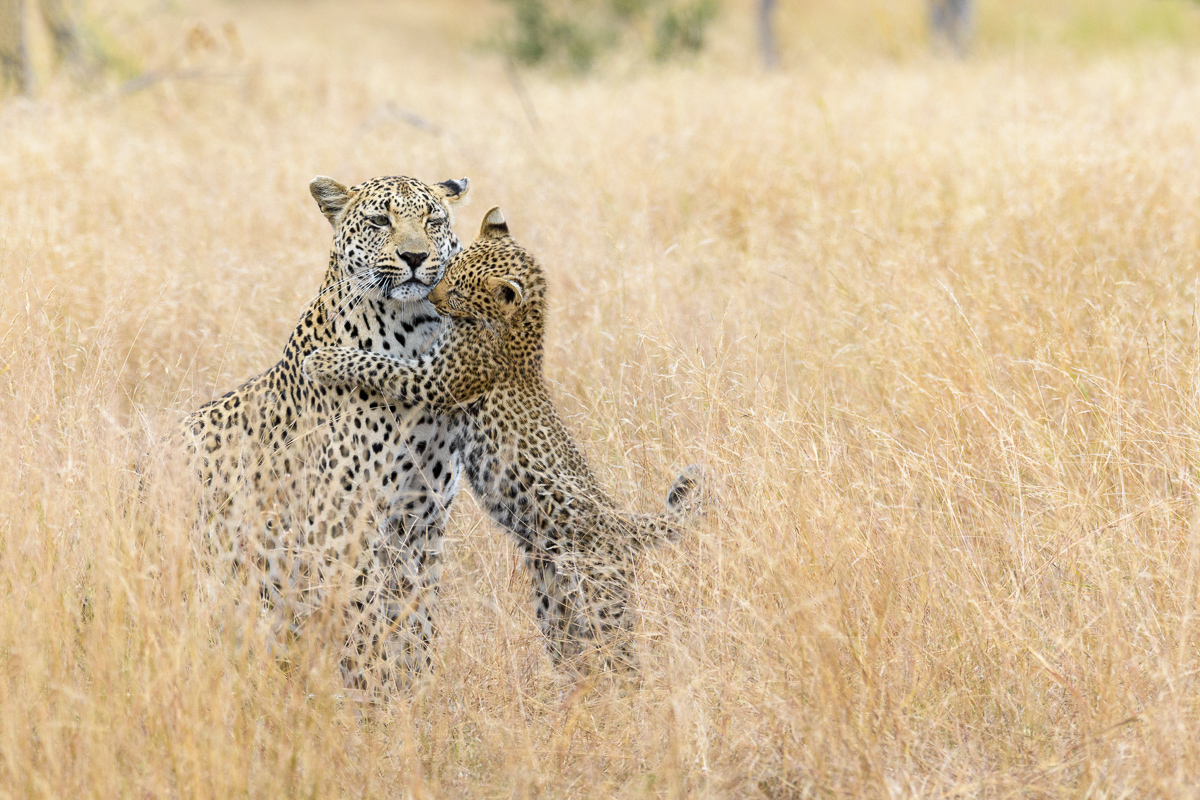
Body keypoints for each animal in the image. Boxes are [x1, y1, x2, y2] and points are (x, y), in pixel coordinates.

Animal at [183, 173, 472, 692]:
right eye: (380, 220)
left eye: (434, 220)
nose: (414, 257)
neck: (414, 336)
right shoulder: (342, 522)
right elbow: (365, 619)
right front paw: (374, 694)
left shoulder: (423, 517)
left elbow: (417, 613)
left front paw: (420, 691)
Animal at [303, 206, 704, 673]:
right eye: (448, 272)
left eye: (459, 292)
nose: (433, 298)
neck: (520, 325)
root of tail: (622, 523)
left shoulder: (437, 380)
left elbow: (380, 365)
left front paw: (325, 360)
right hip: (554, 598)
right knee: (572, 649)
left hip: (602, 599)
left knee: (621, 657)